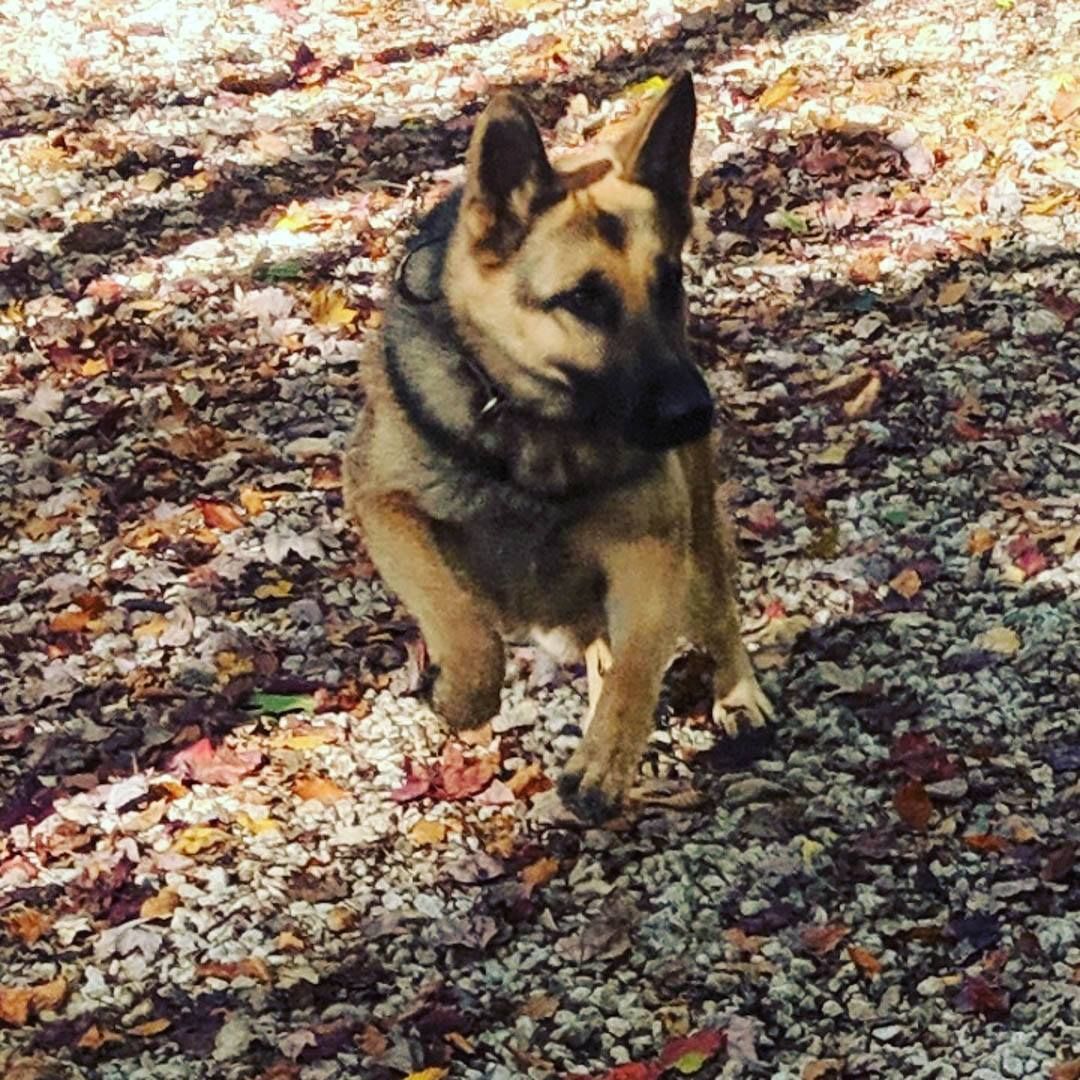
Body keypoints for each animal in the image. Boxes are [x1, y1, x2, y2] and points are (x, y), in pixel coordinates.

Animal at [343, 71, 773, 822]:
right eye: (584, 300)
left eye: (670, 283)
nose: (694, 413)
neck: (535, 426)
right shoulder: (385, 507)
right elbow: (460, 619)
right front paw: (465, 693)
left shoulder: (652, 547)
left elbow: (638, 665)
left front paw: (605, 759)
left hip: (696, 553)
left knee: (714, 614)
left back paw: (736, 693)